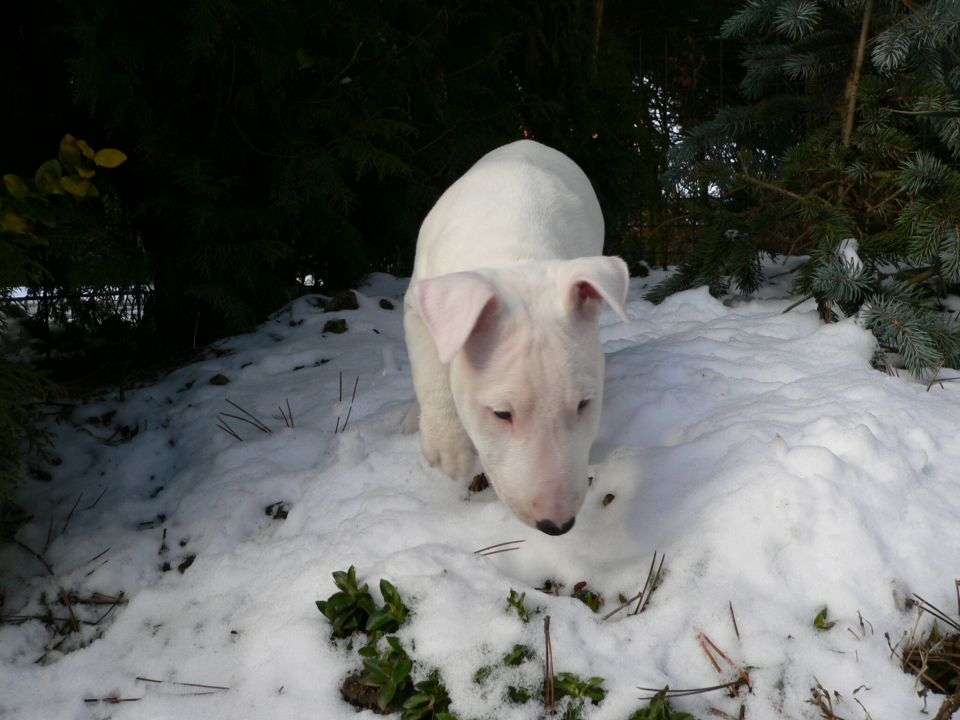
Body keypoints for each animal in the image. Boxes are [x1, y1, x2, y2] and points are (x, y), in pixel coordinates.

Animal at [403, 140, 629, 535]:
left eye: (585, 404)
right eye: (501, 413)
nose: (557, 525)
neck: (512, 255)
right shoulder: (417, 304)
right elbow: (432, 368)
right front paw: (450, 448)